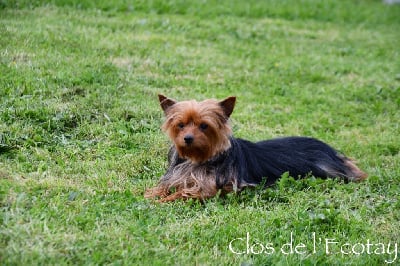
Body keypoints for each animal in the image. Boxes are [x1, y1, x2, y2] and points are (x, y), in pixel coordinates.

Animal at [145, 95, 368, 202]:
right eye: (181, 125)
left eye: (204, 126)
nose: (188, 138)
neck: (199, 158)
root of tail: (329, 150)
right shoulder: (178, 176)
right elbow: (162, 187)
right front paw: (151, 194)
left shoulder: (212, 187)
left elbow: (184, 193)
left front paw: (163, 200)